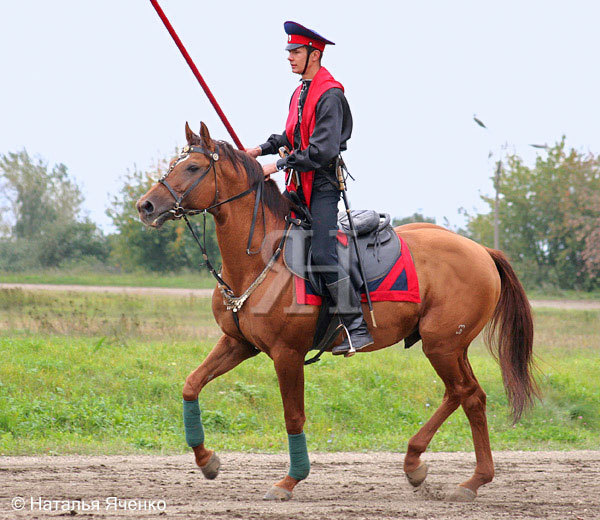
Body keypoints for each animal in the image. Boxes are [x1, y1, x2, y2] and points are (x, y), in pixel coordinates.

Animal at [138, 123, 536, 504]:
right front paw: (207, 460)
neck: (261, 258)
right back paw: (427, 467)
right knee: (466, 395)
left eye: (192, 167)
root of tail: (482, 251)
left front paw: (290, 480)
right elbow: (191, 384)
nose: (146, 206)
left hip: (442, 345)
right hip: (451, 347)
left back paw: (465, 478)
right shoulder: (238, 343)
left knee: (465, 393)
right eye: (173, 164)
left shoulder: (287, 354)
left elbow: (293, 416)